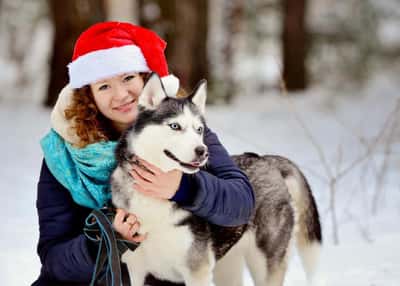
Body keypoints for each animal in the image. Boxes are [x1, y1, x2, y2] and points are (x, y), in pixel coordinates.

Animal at [110, 72, 322, 284]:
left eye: (199, 130)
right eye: (175, 126)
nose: (202, 151)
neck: (154, 202)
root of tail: (268, 160)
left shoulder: (197, 271)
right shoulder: (134, 269)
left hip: (264, 265)